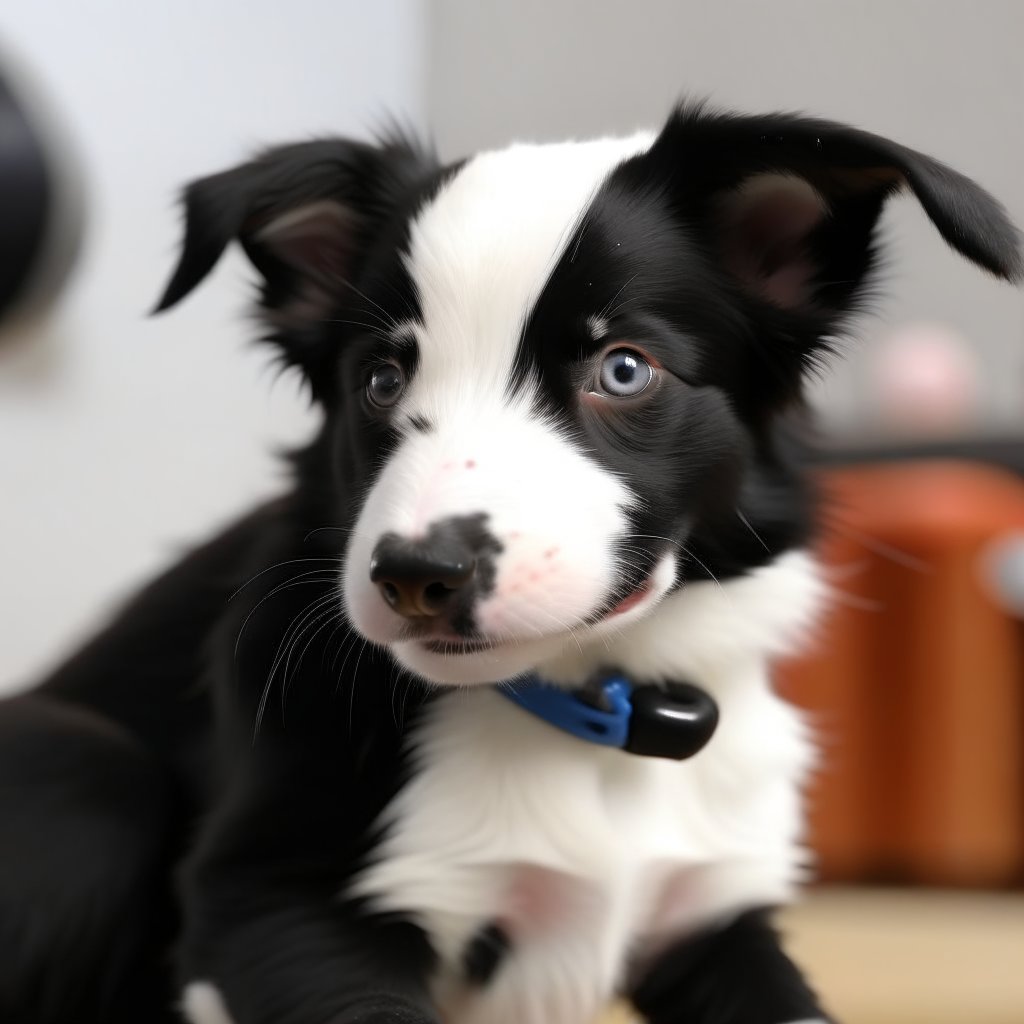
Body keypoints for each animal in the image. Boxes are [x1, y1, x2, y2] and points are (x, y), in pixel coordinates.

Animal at [4, 101, 1019, 1024]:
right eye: (381, 379)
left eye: (623, 368)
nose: (417, 577)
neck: (585, 712)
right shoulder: (272, 900)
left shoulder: (711, 914)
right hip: (84, 768)